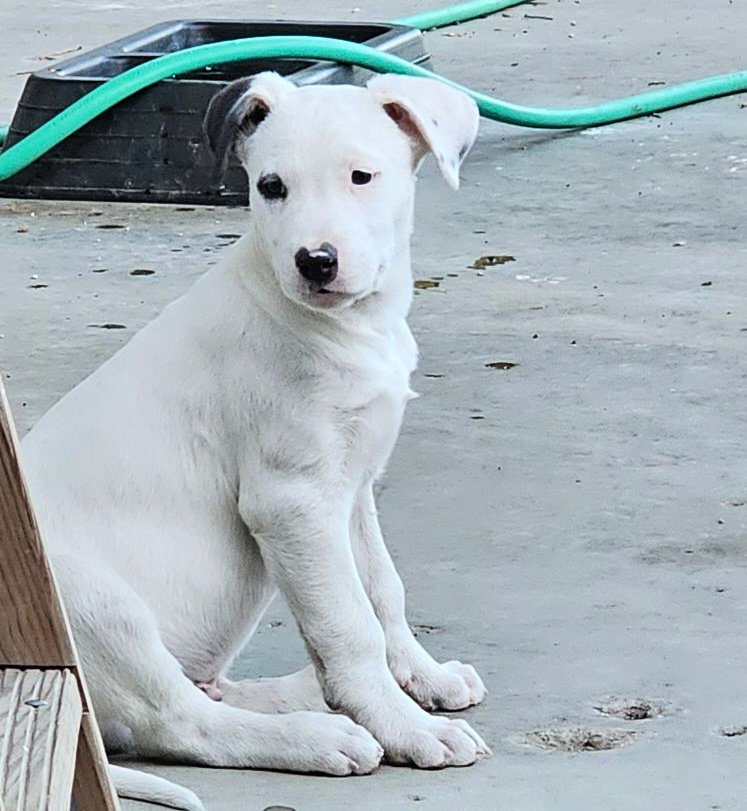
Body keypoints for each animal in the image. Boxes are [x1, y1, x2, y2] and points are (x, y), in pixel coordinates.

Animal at [21, 73, 486, 808]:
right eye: (271, 186)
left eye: (361, 177)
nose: (315, 261)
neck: (344, 327)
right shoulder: (292, 501)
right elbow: (348, 622)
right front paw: (406, 727)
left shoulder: (351, 490)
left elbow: (382, 592)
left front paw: (421, 678)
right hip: (92, 601)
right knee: (178, 720)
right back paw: (316, 736)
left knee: (204, 694)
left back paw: (306, 695)